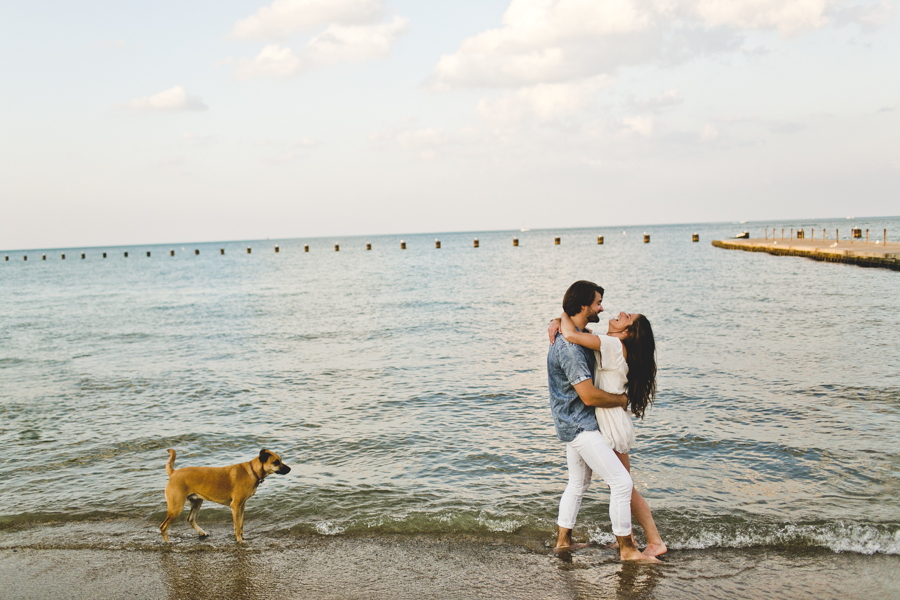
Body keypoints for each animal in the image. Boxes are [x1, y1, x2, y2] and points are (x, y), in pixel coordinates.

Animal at [158, 448, 292, 540]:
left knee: (190, 518)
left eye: (280, 460)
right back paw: (168, 544)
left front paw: (241, 536)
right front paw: (240, 541)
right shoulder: (235, 506)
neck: (252, 471)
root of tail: (173, 473)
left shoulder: (241, 506)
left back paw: (202, 532)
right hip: (176, 508)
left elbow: (240, 524)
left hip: (197, 502)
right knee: (163, 527)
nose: (290, 469)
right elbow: (237, 526)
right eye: (276, 462)